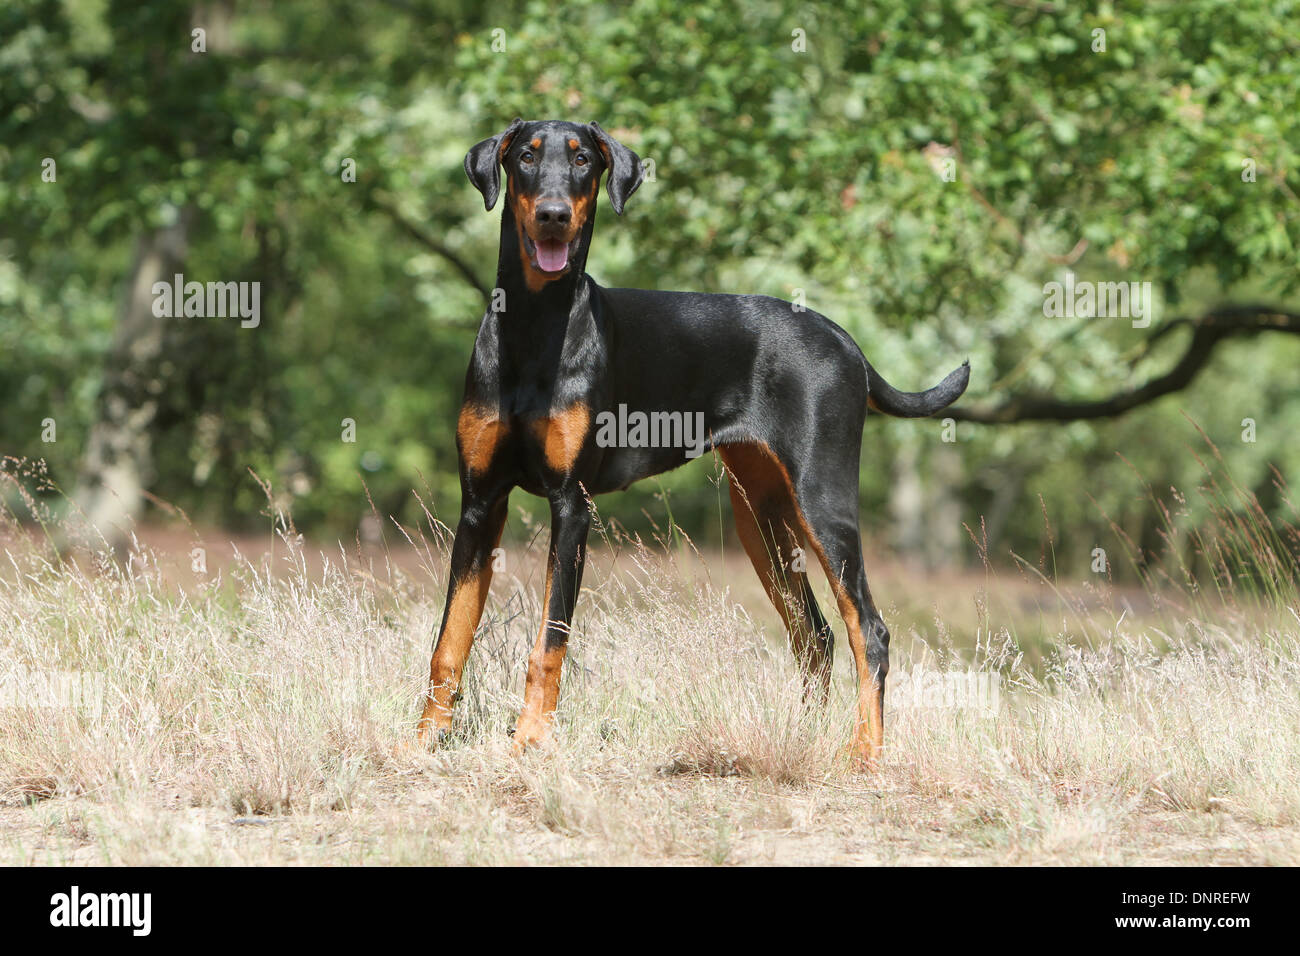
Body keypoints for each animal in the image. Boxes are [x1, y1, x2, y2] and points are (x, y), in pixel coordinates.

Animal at [416, 119, 967, 764]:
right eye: (525, 157)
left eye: (582, 161)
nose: (553, 214)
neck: (533, 323)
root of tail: (845, 340)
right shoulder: (480, 503)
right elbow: (449, 638)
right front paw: (423, 739)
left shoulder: (571, 505)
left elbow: (549, 640)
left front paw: (530, 739)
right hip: (762, 516)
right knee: (815, 635)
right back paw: (799, 738)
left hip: (822, 504)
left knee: (869, 631)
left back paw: (865, 753)